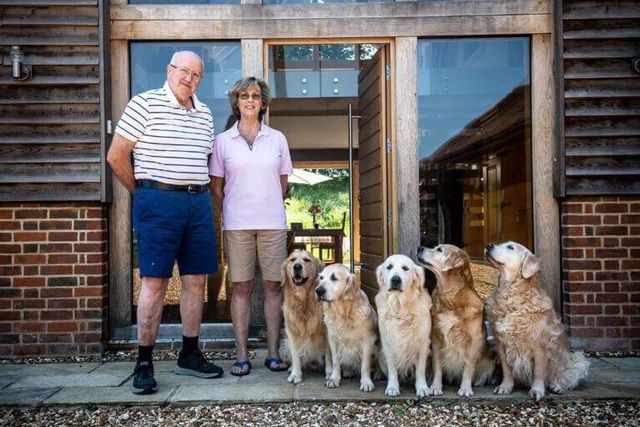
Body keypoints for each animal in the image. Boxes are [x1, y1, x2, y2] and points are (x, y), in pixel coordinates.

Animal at [278, 249, 330, 386]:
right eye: (292, 260)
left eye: (307, 260)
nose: (297, 266)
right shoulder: (292, 331)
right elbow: (296, 355)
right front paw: (295, 374)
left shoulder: (327, 330)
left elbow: (329, 354)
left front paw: (330, 373)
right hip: (285, 343)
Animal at [376, 254, 430, 398]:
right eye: (389, 267)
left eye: (405, 268)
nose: (395, 279)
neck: (400, 307)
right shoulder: (388, 343)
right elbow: (392, 370)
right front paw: (392, 387)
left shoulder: (423, 343)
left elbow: (421, 370)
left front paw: (422, 388)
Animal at [418, 244, 498, 398]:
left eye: (439, 250)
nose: (419, 247)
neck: (450, 300)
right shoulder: (436, 339)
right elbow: (437, 366)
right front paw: (436, 387)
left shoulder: (474, 340)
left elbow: (468, 366)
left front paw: (466, 388)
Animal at [484, 242, 592, 402]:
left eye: (510, 247)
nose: (489, 245)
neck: (512, 296)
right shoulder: (501, 344)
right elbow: (507, 369)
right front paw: (505, 387)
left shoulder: (540, 345)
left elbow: (539, 372)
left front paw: (537, 390)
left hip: (578, 360)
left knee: (562, 378)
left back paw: (556, 387)